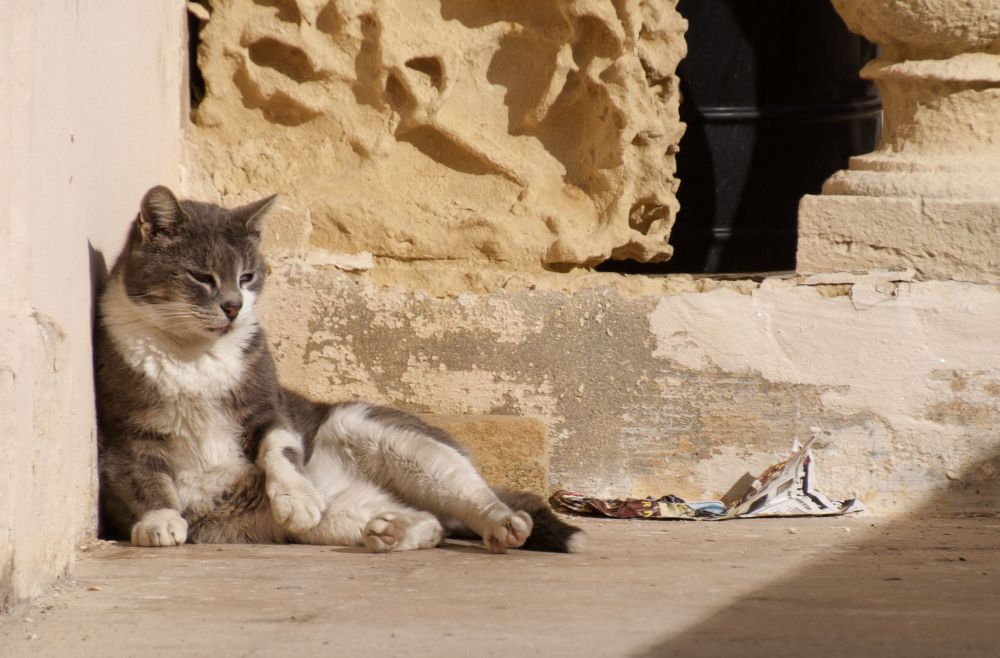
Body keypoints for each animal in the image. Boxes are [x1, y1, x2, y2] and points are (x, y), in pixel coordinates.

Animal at [96, 186, 584, 552]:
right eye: (202, 276)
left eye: (247, 277)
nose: (234, 306)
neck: (194, 355)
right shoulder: (126, 434)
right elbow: (144, 479)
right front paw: (160, 521)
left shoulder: (268, 408)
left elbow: (279, 449)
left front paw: (295, 498)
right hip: (343, 513)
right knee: (430, 523)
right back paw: (392, 531)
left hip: (396, 441)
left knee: (471, 494)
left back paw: (504, 526)